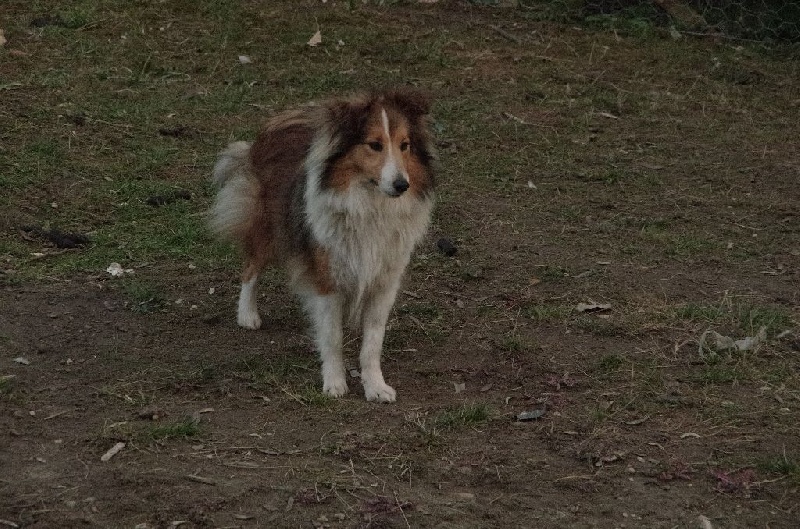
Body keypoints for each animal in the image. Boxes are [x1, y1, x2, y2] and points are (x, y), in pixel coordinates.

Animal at [209, 88, 435, 402]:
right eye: (374, 145)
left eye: (405, 146)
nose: (402, 185)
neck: (368, 203)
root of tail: (287, 117)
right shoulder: (328, 280)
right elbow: (332, 337)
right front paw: (334, 382)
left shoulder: (384, 282)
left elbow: (373, 342)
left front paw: (375, 386)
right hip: (267, 226)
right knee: (250, 267)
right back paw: (247, 314)